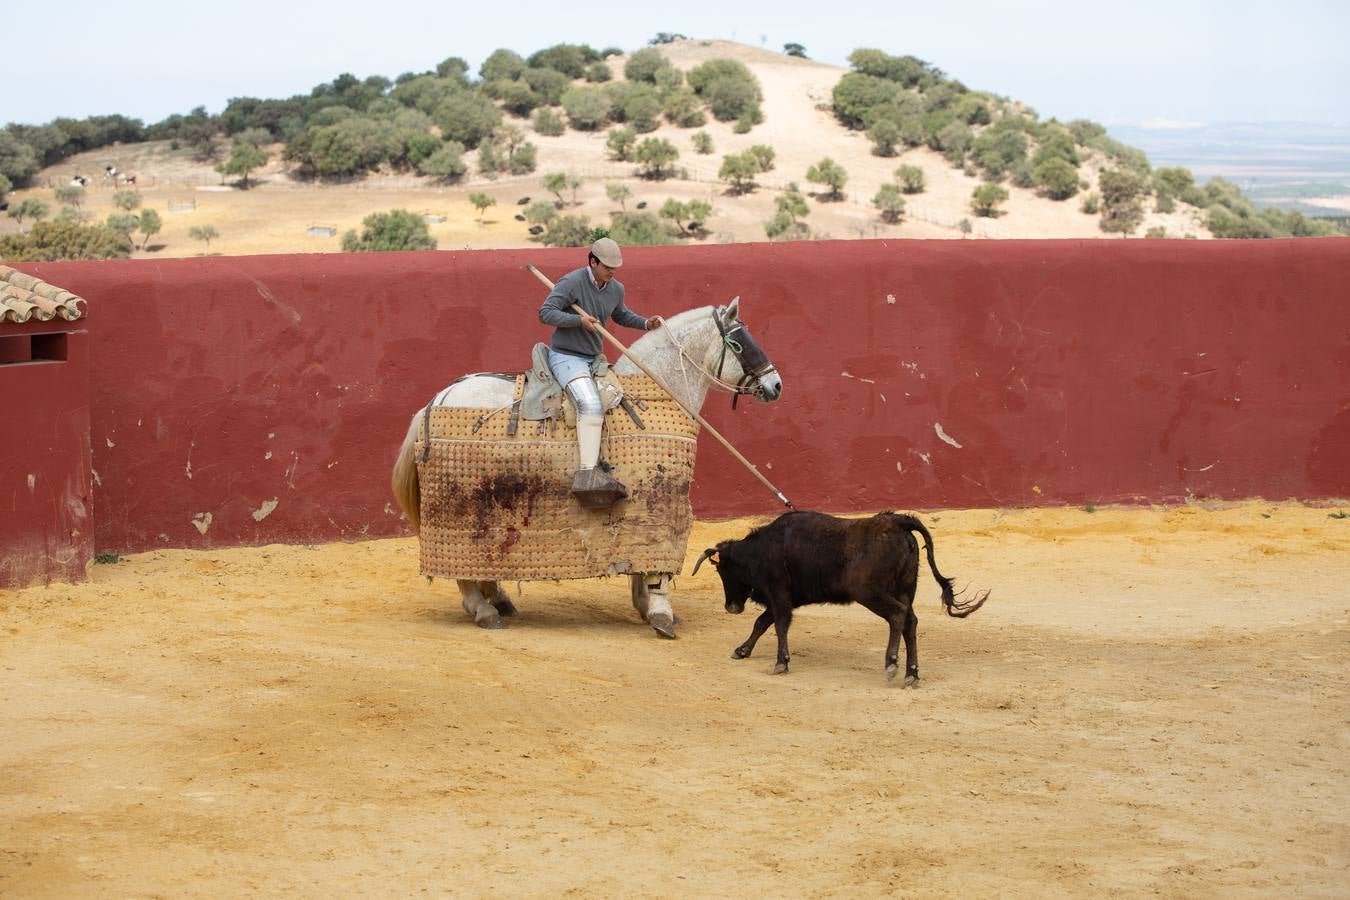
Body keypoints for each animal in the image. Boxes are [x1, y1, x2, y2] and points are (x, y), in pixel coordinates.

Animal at [391, 299, 788, 636]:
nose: (775, 385)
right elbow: (659, 560)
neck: (656, 392)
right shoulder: (662, 502)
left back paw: (499, 599)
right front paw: (660, 612)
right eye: (740, 344)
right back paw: (484, 610)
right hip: (463, 509)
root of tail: (435, 401)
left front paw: (646, 605)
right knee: (460, 565)